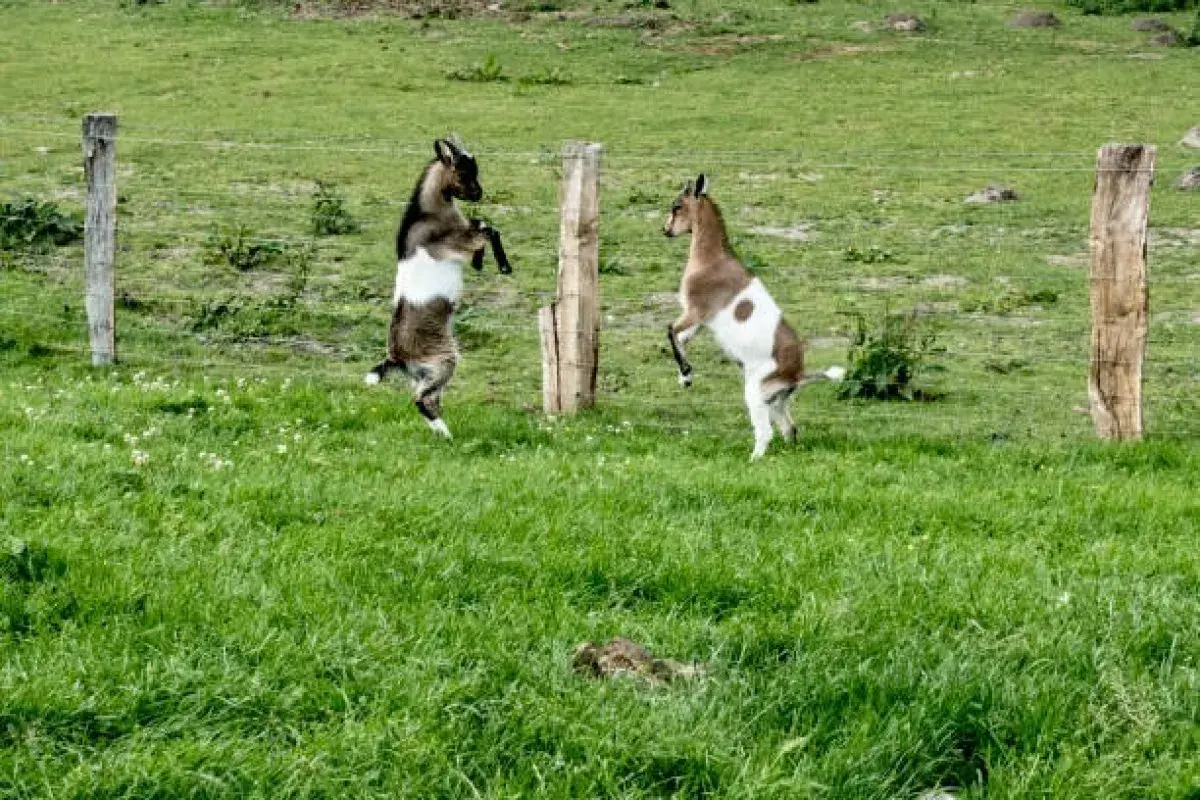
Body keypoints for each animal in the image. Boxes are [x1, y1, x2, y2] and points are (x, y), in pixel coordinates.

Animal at [364, 137, 510, 438]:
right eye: (464, 172)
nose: (478, 194)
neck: (428, 212)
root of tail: (396, 357)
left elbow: (483, 225)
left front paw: (481, 263)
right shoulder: (456, 240)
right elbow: (488, 230)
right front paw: (500, 266)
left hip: (423, 374)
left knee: (427, 399)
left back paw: (441, 432)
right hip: (443, 361)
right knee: (422, 399)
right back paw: (447, 434)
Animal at [663, 174, 844, 460]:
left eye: (677, 206)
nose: (666, 230)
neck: (712, 259)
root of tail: (796, 374)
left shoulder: (695, 312)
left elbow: (670, 329)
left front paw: (687, 373)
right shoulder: (700, 321)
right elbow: (681, 338)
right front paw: (685, 378)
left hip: (755, 393)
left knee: (766, 432)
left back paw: (752, 460)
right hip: (776, 402)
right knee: (790, 428)